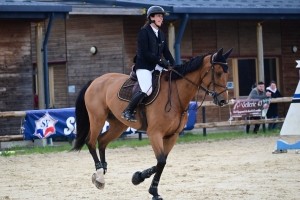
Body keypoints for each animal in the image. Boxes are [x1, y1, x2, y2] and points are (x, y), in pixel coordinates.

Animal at [72, 47, 232, 199]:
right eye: (218, 73)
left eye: (227, 73)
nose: (223, 100)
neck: (176, 96)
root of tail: (95, 80)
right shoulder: (155, 133)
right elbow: (161, 162)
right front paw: (153, 191)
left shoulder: (172, 135)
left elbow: (162, 162)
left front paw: (138, 178)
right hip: (97, 118)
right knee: (90, 141)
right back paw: (99, 176)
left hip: (119, 125)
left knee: (102, 140)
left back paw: (103, 171)